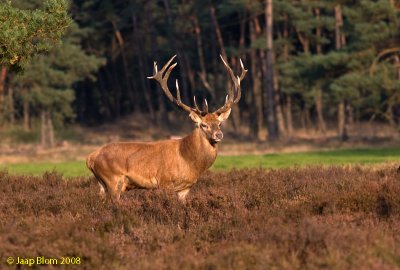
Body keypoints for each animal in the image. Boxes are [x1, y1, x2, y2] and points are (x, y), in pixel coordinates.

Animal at [86, 54, 245, 201]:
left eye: (219, 123)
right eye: (203, 124)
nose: (219, 135)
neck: (188, 161)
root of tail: (90, 158)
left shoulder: (185, 188)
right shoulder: (164, 181)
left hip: (102, 184)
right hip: (112, 179)